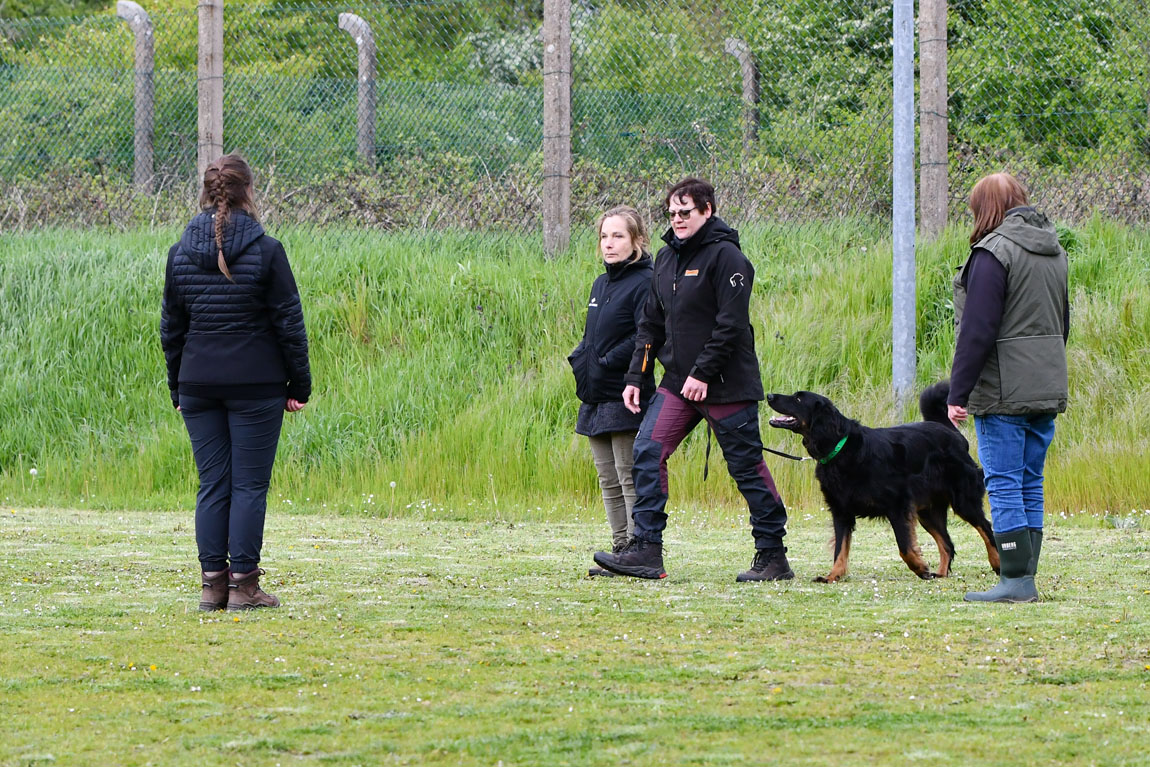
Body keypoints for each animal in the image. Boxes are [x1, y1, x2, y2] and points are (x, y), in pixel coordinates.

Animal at [763, 384, 998, 581]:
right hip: (928, 511)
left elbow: (905, 547)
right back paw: (940, 574)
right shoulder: (841, 511)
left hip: (963, 501)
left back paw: (996, 563)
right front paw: (833, 576)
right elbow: (840, 549)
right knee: (947, 544)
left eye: (798, 398)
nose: (769, 395)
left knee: (986, 528)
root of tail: (951, 432)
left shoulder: (898, 505)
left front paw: (920, 567)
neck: (840, 447)